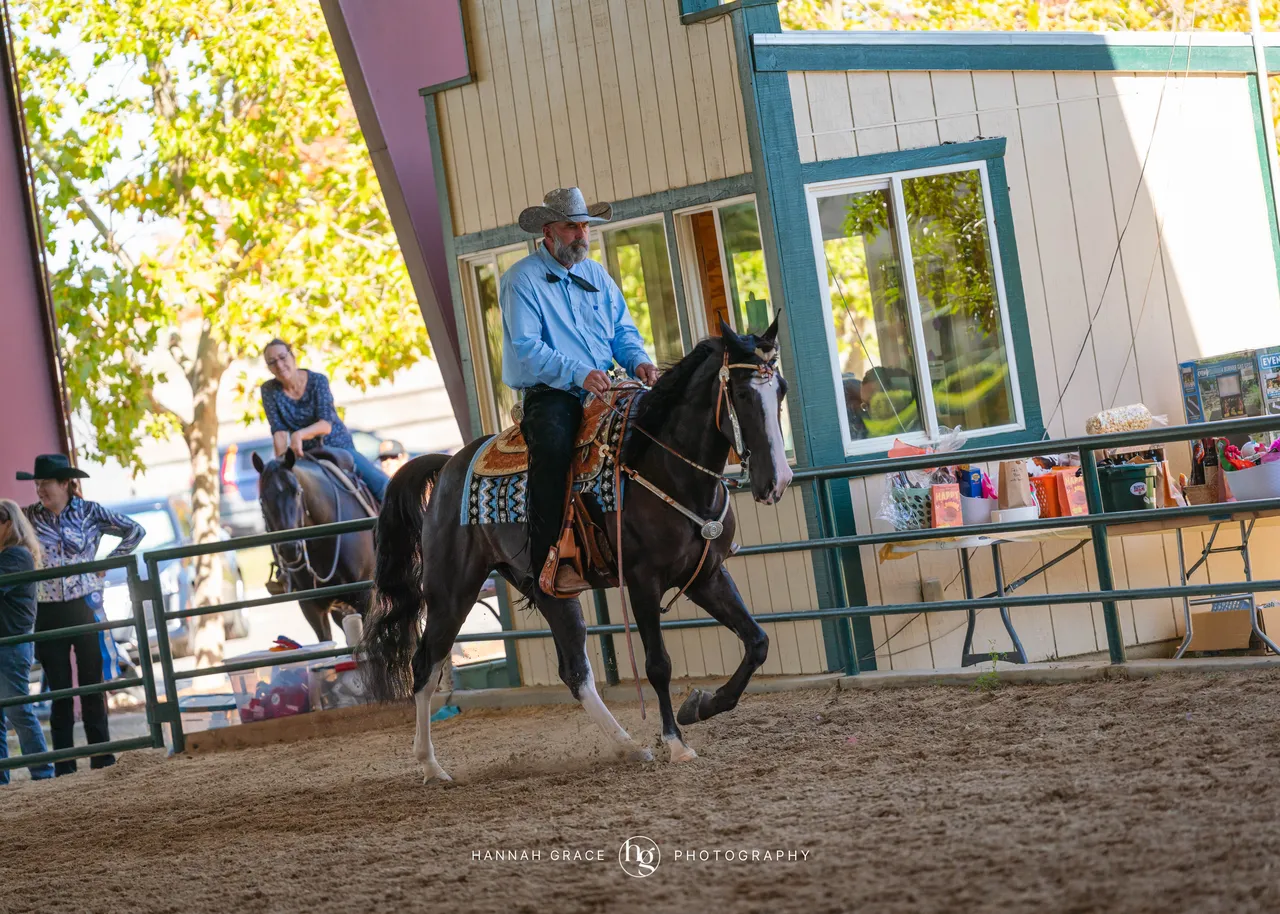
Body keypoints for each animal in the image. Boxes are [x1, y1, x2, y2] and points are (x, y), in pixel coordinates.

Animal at [362, 318, 793, 782]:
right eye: (743, 394)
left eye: (782, 389)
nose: (779, 480)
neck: (663, 467)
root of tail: (447, 465)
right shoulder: (642, 581)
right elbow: (658, 664)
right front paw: (676, 743)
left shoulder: (706, 575)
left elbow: (757, 641)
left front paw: (700, 705)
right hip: (450, 593)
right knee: (424, 666)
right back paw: (430, 766)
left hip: (550, 591)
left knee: (575, 671)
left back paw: (628, 746)